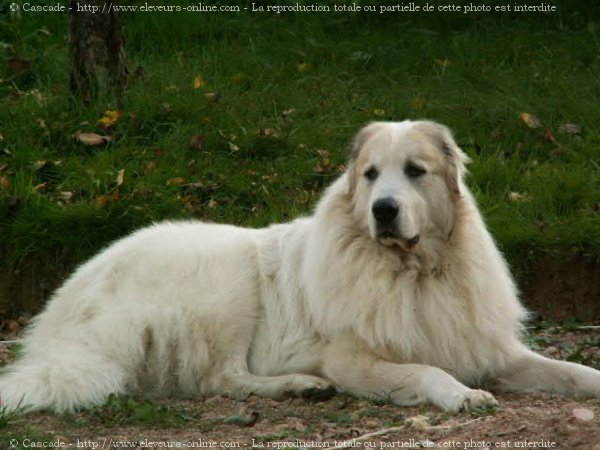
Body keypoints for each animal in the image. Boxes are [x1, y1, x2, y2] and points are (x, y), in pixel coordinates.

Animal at [1, 120, 600, 412]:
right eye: (370, 174)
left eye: (415, 170)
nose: (384, 210)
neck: (413, 271)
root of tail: (65, 311)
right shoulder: (354, 361)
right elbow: (425, 371)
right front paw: (461, 395)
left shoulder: (486, 347)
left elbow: (570, 371)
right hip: (229, 283)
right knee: (223, 377)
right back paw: (298, 387)